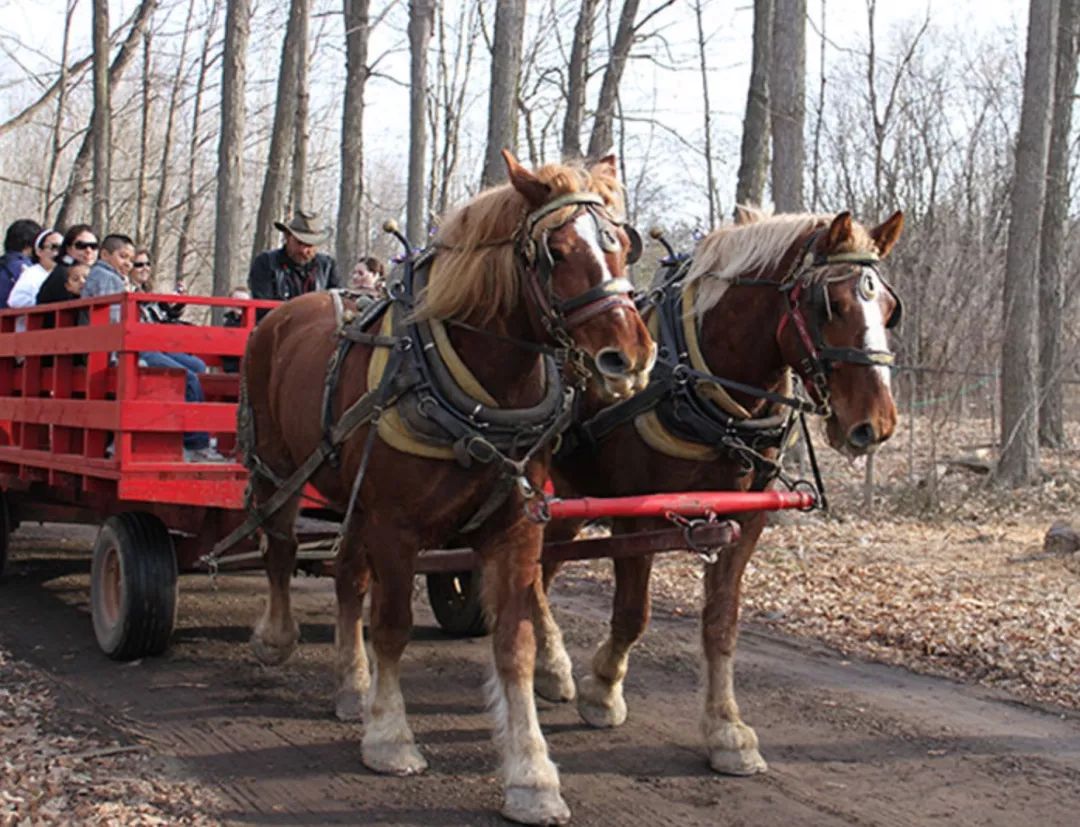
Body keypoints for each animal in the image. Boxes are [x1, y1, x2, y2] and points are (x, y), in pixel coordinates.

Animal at [240, 152, 652, 824]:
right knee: (279, 546)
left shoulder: (515, 528)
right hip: (277, 467)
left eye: (621, 243)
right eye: (556, 251)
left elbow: (515, 642)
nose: (630, 356)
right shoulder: (395, 526)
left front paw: (532, 773)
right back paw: (277, 640)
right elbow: (393, 626)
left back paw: (351, 684)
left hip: (352, 494)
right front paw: (389, 736)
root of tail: (282, 315)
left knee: (347, 576)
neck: (485, 395)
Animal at [537, 210, 902, 781]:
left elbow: (722, 623)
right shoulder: (637, 515)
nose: (876, 424)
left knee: (544, 566)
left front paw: (727, 730)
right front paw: (603, 691)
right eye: (832, 306)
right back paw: (553, 664)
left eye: (889, 309)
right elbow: (632, 613)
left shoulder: (746, 520)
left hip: (570, 501)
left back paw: (545, 661)